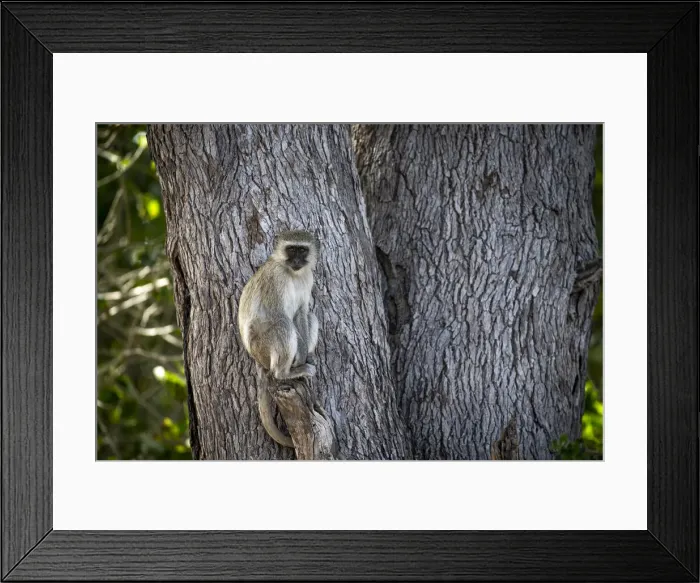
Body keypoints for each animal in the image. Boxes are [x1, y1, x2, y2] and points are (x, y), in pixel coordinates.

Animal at [238, 230, 320, 447]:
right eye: (291, 249)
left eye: (302, 250)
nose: (297, 260)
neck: (292, 273)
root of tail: (256, 357)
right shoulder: (276, 277)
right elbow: (279, 315)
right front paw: (297, 362)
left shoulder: (307, 276)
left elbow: (301, 313)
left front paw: (302, 355)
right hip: (262, 346)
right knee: (283, 326)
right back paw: (285, 373)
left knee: (311, 317)